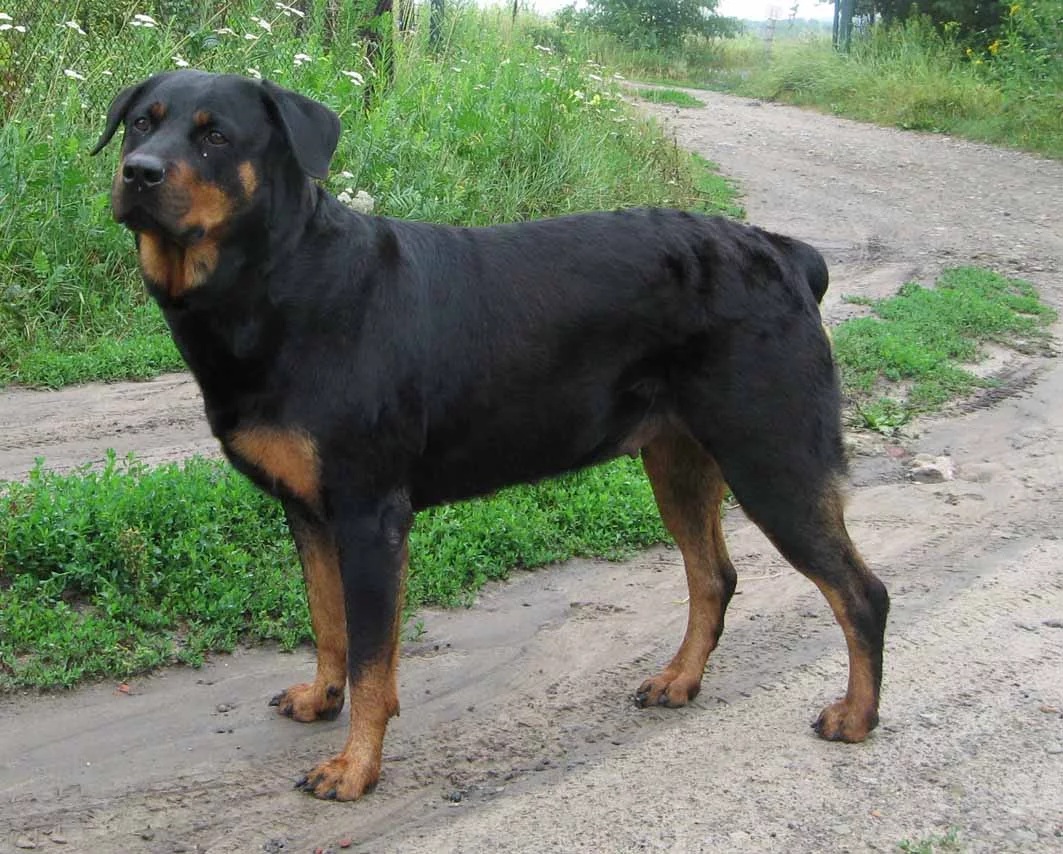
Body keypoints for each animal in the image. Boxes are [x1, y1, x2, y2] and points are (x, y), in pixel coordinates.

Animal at [93, 70, 889, 801]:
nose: (138, 173)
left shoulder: (370, 514)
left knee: (861, 593)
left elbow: (373, 658)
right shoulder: (308, 510)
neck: (278, 279)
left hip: (773, 456)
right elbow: (328, 621)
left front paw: (356, 768)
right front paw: (322, 699)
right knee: (714, 578)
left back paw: (855, 716)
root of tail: (788, 255)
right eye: (140, 124)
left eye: (216, 137)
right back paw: (680, 680)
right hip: (680, 461)